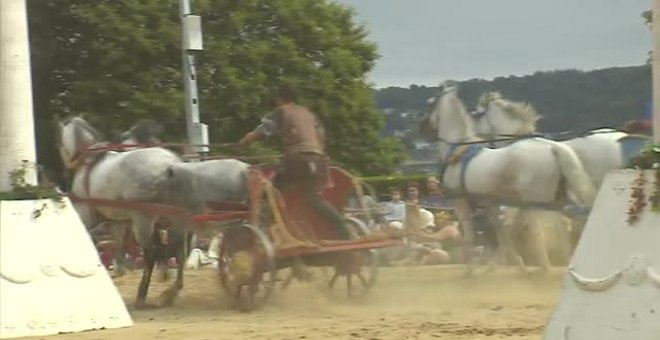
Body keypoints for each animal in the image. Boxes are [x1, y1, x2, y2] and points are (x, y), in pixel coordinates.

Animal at [58, 116, 189, 308]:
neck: (91, 160)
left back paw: (142, 295)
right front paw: (119, 270)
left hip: (143, 219)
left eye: (59, 139)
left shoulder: (86, 213)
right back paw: (171, 292)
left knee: (150, 254)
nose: (65, 169)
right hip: (174, 216)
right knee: (179, 249)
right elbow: (118, 246)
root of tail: (172, 163)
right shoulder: (117, 221)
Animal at [420, 85, 596, 276]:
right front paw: (512, 264)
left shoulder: (462, 202)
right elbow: (502, 231)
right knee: (567, 224)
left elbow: (471, 235)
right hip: (559, 198)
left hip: (540, 203)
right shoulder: (491, 204)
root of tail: (553, 147)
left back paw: (548, 267)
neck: (458, 153)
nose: (421, 127)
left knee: (554, 227)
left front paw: (471, 270)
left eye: (430, 104)